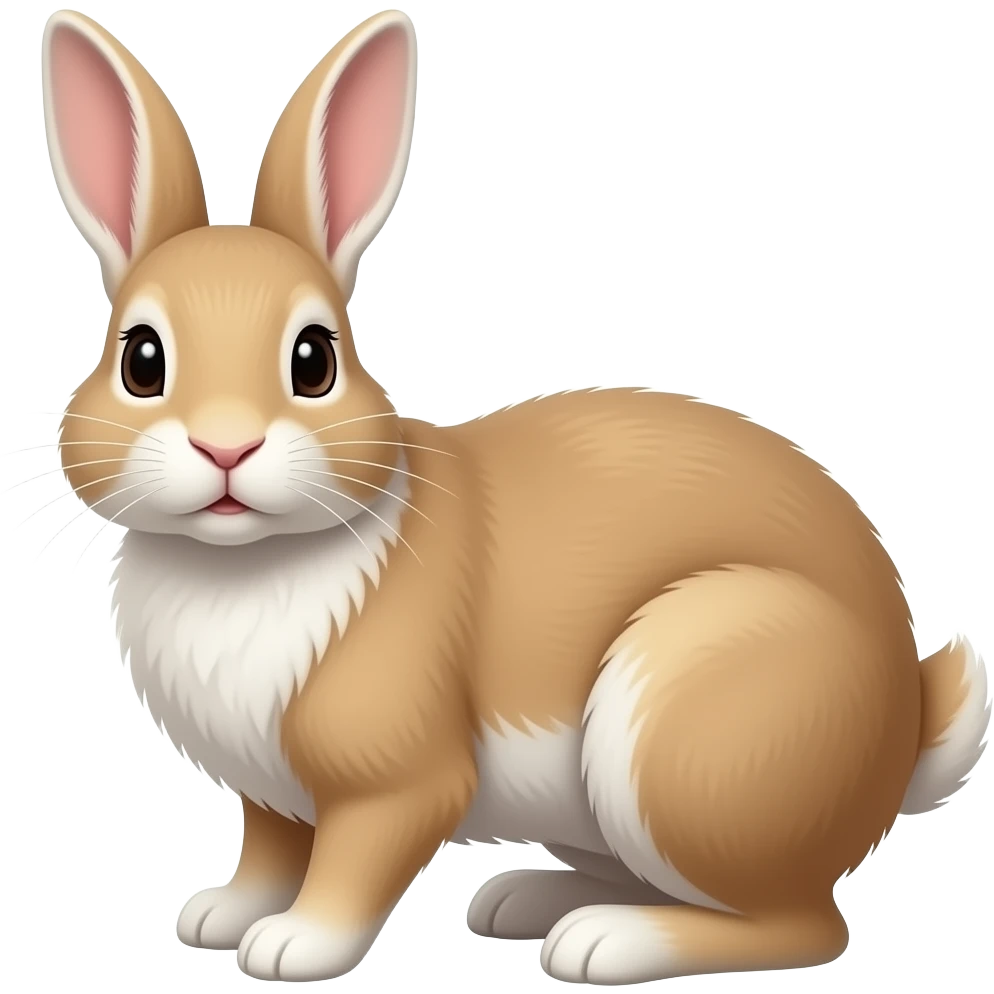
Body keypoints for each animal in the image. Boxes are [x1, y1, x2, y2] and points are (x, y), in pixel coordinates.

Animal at [38, 8, 991, 986]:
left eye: (314, 360)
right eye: (140, 360)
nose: (225, 445)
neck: (241, 563)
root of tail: (904, 730)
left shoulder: (397, 780)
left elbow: (355, 860)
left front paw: (294, 945)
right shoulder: (271, 796)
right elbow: (266, 850)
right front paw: (219, 916)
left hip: (686, 721)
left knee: (802, 925)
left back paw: (605, 941)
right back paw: (525, 900)